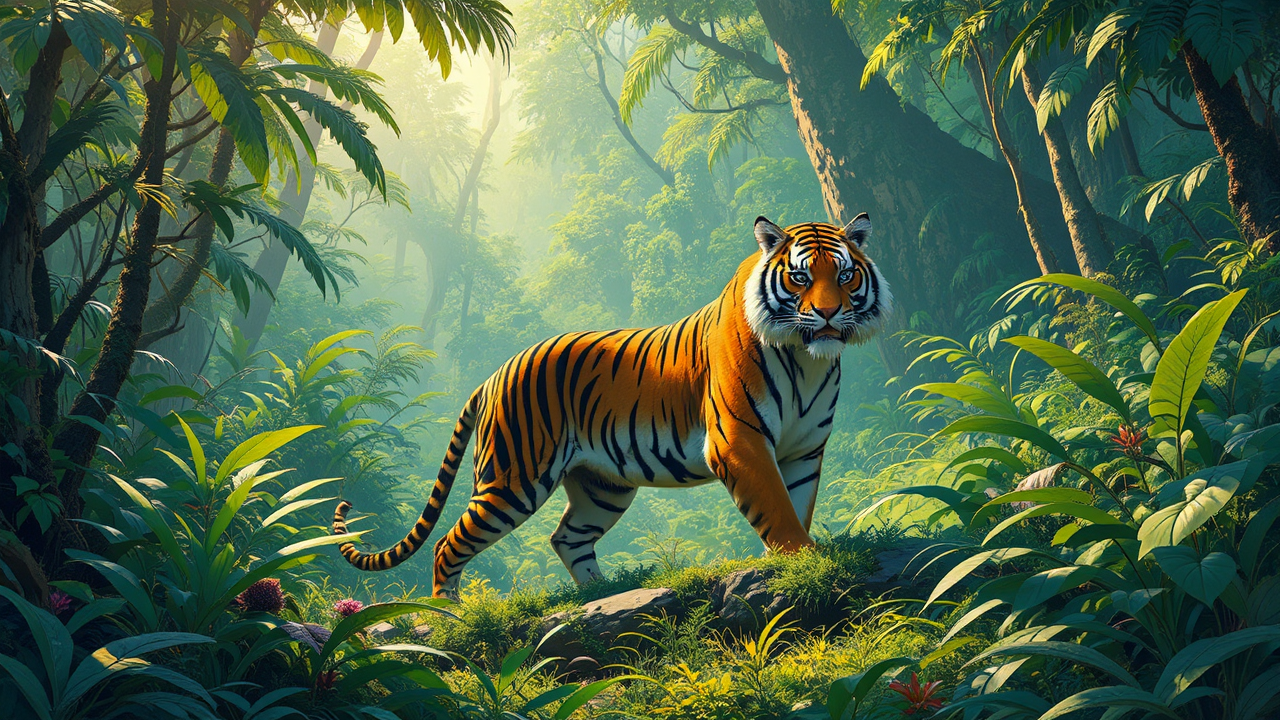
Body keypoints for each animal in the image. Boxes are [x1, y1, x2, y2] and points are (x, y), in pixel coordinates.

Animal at [332, 214, 890, 598]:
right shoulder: (741, 441)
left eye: (844, 277)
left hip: (604, 486)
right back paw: (450, 614)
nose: (829, 314)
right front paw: (808, 563)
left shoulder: (803, 451)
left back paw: (604, 593)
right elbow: (777, 509)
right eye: (800, 278)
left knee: (567, 537)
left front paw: (792, 562)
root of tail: (493, 375)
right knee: (449, 546)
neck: (807, 359)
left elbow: (796, 507)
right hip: (514, 480)